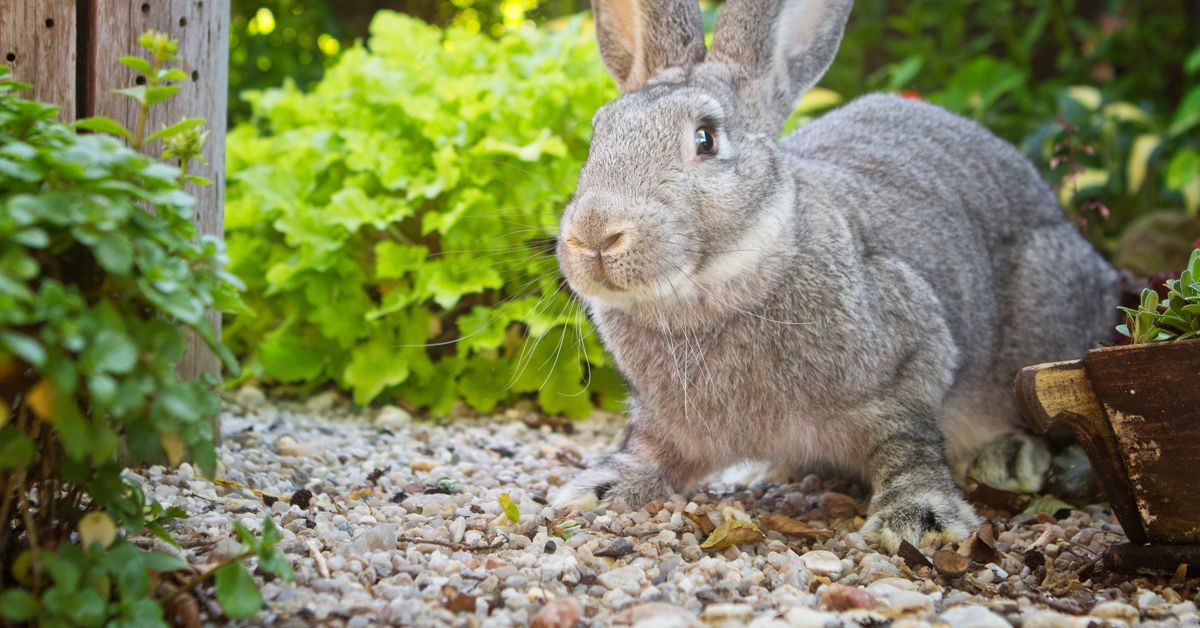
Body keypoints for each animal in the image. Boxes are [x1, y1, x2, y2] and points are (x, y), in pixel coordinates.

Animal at [551, 0, 1120, 552]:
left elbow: (907, 443)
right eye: (598, 134)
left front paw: (918, 520)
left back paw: (1009, 459)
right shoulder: (667, 422)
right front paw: (595, 490)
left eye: (706, 138)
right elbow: (650, 450)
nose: (594, 235)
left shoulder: (908, 366)